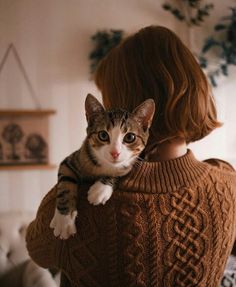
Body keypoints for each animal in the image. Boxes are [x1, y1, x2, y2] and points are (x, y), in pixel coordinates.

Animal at [49, 94, 155, 241]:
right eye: (103, 135)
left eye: (130, 137)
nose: (115, 153)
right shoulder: (72, 160)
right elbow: (65, 183)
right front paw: (64, 221)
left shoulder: (135, 161)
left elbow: (122, 171)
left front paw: (100, 189)